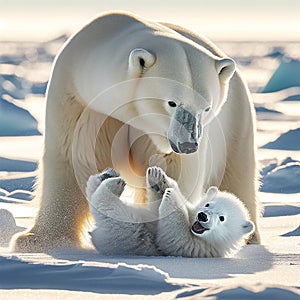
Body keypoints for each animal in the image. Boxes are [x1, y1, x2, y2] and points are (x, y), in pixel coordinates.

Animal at [86, 168, 253, 256]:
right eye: (207, 204)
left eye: (222, 218)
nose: (203, 216)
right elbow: (158, 208)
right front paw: (158, 178)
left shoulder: (196, 248)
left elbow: (173, 236)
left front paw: (171, 195)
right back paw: (108, 174)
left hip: (126, 234)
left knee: (107, 206)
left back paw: (113, 184)